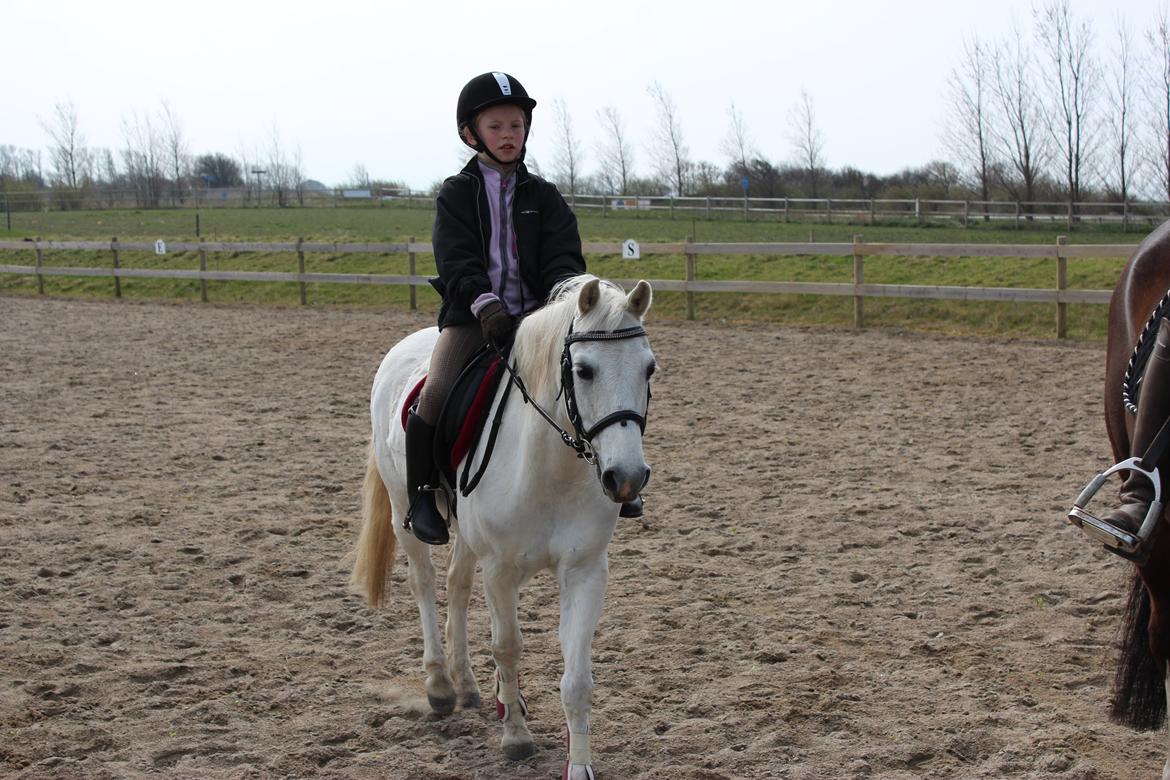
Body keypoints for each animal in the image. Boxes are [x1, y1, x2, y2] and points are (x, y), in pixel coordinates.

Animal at [351, 275, 655, 780]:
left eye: (649, 369)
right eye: (585, 370)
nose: (627, 477)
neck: (550, 468)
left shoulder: (586, 571)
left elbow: (577, 678)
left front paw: (578, 764)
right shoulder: (500, 568)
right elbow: (507, 646)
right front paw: (515, 735)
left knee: (455, 585)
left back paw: (467, 683)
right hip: (402, 513)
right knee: (424, 582)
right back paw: (440, 685)